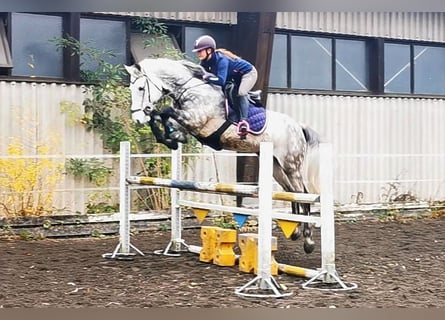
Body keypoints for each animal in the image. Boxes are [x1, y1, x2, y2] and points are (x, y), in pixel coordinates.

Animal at [123, 57, 320, 252]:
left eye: (140, 88)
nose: (137, 119)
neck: (190, 89)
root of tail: (298, 126)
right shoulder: (188, 123)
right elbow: (161, 118)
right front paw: (170, 139)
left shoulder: (195, 120)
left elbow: (164, 112)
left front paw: (169, 135)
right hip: (275, 165)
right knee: (291, 191)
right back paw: (295, 232)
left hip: (291, 164)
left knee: (302, 193)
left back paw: (308, 241)